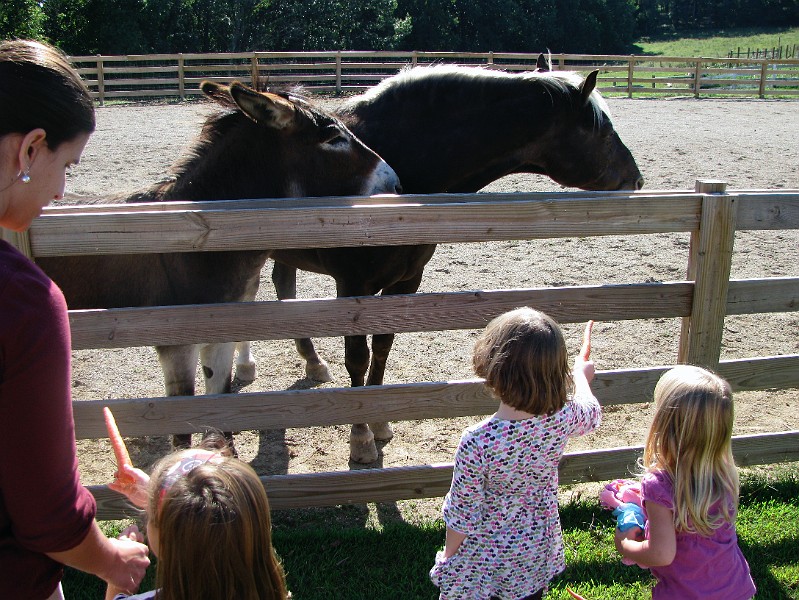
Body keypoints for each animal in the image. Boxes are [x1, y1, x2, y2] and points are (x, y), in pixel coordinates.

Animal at [37, 78, 400, 446]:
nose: (396, 183)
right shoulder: (176, 346)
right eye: (333, 138)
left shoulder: (222, 334)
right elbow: (182, 429)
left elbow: (221, 404)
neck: (201, 242)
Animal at [268, 63, 644, 462]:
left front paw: (380, 421)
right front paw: (361, 438)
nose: (636, 179)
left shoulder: (406, 281)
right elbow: (357, 357)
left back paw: (310, 362)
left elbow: (383, 348)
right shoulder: (353, 285)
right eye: (602, 131)